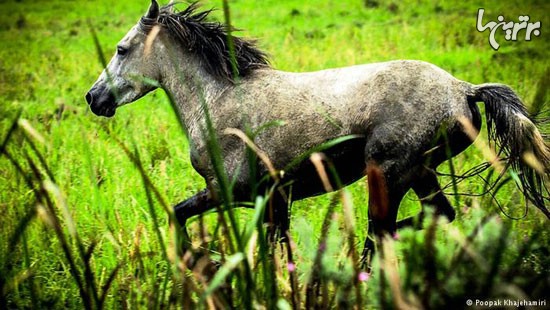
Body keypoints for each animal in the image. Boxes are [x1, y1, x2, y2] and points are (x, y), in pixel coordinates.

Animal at [86, 0, 550, 266]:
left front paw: (197, 262)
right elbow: (277, 249)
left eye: (121, 49)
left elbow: (177, 213)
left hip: (388, 174)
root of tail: (463, 89)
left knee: (381, 232)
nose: (94, 98)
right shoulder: (273, 197)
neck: (218, 99)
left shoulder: (231, 191)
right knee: (433, 217)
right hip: (420, 173)